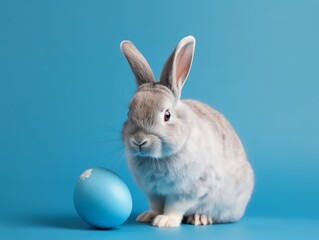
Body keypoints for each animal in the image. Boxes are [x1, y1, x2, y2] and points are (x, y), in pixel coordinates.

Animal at [120, 35, 255, 227]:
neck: (157, 158)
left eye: (167, 115)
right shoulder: (153, 192)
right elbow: (156, 205)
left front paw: (165, 221)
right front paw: (149, 216)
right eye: (128, 113)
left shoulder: (188, 191)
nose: (139, 141)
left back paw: (200, 218)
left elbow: (175, 206)